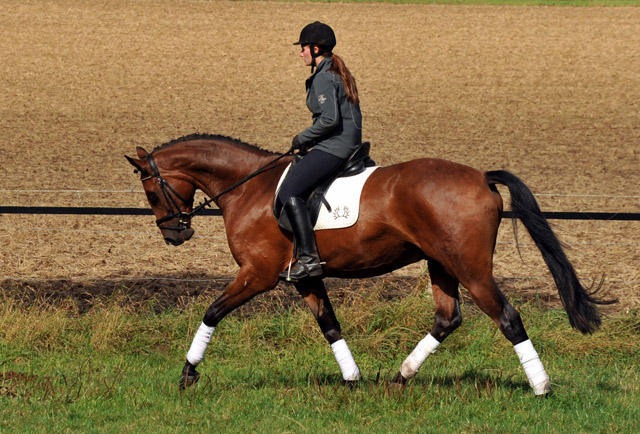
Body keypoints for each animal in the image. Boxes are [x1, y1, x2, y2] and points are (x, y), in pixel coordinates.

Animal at [124, 134, 608, 396]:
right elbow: (330, 326)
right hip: (441, 264)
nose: (174, 234)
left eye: (150, 191)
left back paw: (541, 388)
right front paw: (353, 379)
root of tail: (480, 177)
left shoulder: (257, 274)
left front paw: (188, 374)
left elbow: (212, 312)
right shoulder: (303, 278)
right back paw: (399, 378)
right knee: (447, 318)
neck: (248, 188)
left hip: (471, 270)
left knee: (507, 317)